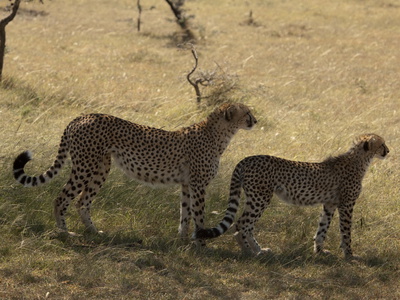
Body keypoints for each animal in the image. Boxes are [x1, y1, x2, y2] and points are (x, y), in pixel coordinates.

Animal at [13, 102, 256, 239]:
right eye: (247, 113)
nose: (256, 120)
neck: (219, 134)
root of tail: (84, 115)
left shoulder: (187, 184)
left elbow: (185, 213)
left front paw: (183, 239)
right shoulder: (198, 185)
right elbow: (198, 214)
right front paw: (200, 241)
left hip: (101, 167)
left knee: (82, 201)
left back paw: (94, 232)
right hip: (85, 166)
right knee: (62, 198)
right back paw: (64, 232)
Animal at [195, 134, 390, 258]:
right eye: (381, 144)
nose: (388, 151)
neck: (360, 160)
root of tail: (247, 158)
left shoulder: (329, 204)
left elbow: (322, 228)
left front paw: (319, 251)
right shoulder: (346, 205)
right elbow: (346, 231)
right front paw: (350, 254)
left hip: (255, 198)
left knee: (244, 224)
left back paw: (256, 250)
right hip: (260, 198)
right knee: (242, 224)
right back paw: (252, 252)